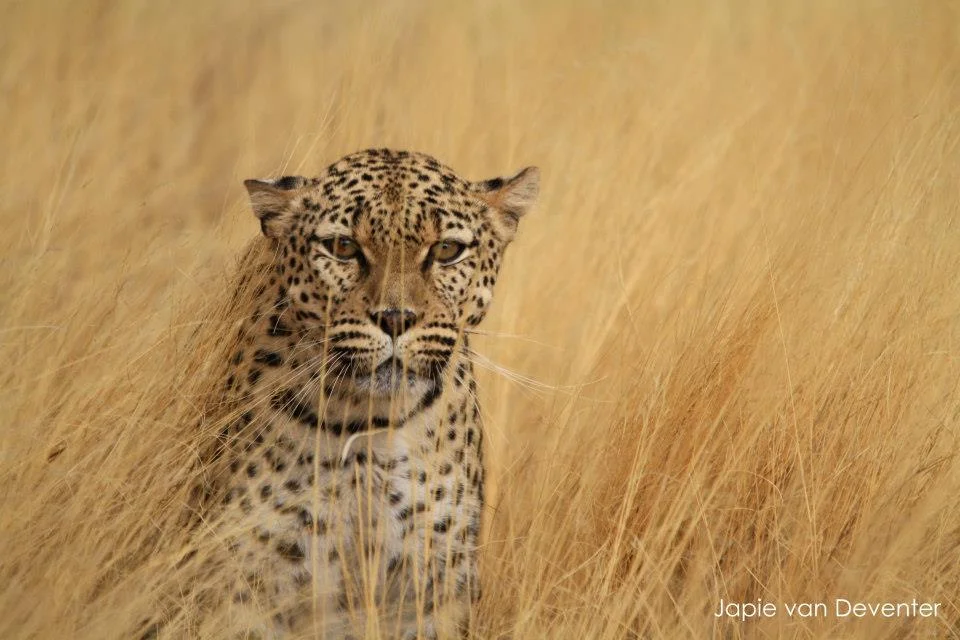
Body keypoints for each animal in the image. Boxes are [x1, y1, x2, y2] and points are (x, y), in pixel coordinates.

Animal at [175, 148, 538, 639]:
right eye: (343, 247)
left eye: (447, 250)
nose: (396, 318)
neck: (367, 424)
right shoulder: (245, 579)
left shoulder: (431, 590)